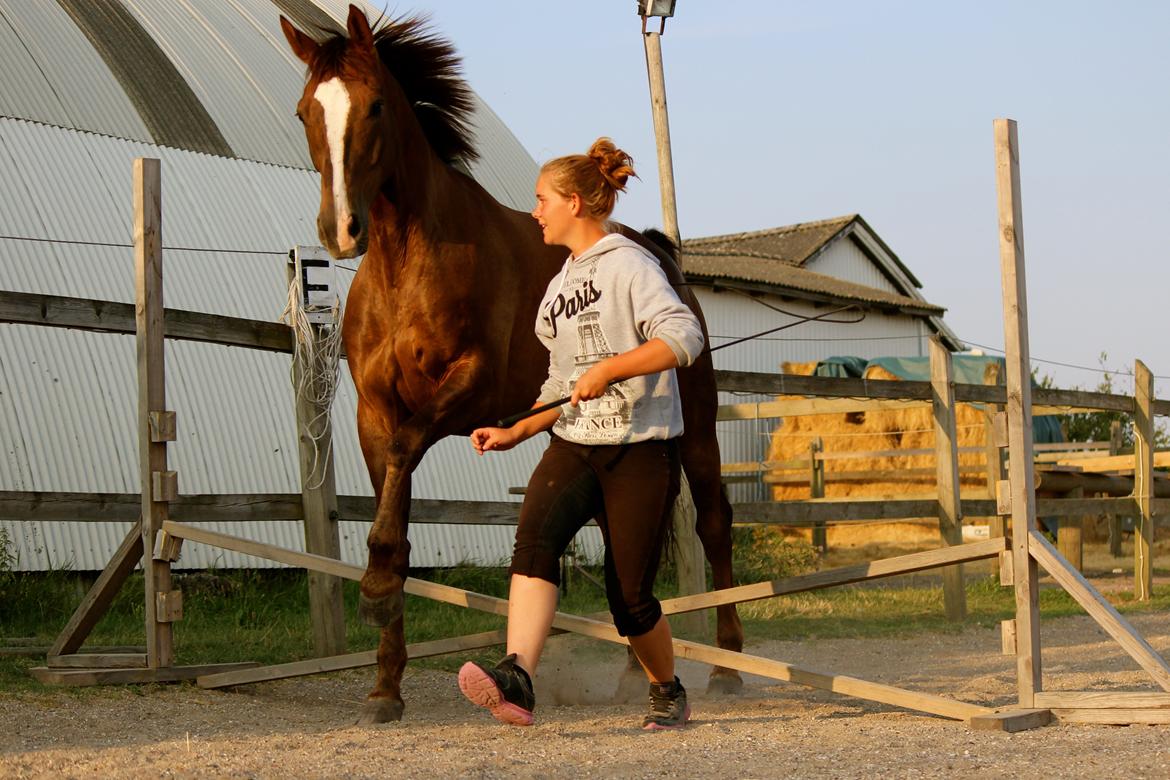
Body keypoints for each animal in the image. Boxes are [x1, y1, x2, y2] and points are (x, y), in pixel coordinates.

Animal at [281, 6, 739, 725]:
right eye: (305, 111)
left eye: (375, 105)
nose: (342, 229)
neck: (407, 264)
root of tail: (662, 256)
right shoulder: (374, 410)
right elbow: (394, 499)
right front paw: (385, 686)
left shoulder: (470, 389)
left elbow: (407, 456)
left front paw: (376, 588)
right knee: (628, 545)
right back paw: (632, 677)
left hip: (698, 429)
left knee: (714, 524)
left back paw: (726, 667)